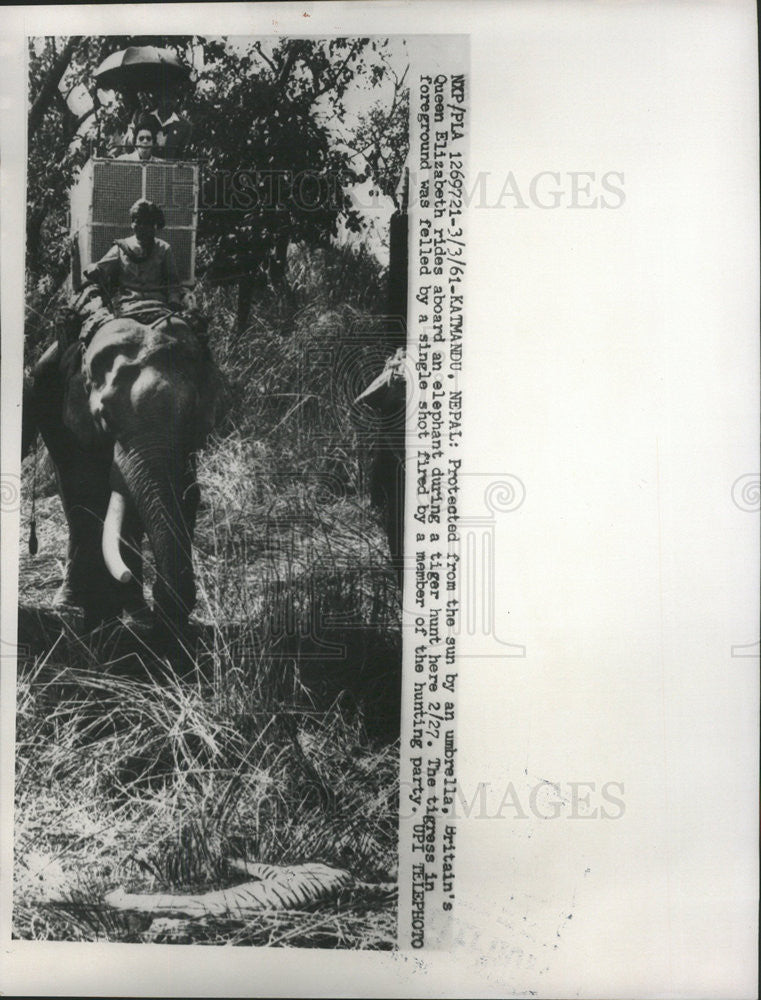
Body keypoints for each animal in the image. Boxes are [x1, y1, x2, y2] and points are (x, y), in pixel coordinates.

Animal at [26, 312, 221, 636]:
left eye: (193, 414)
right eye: (105, 416)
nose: (166, 612)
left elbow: (177, 496)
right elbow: (93, 495)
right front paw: (101, 621)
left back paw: (134, 611)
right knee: (74, 500)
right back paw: (70, 602)